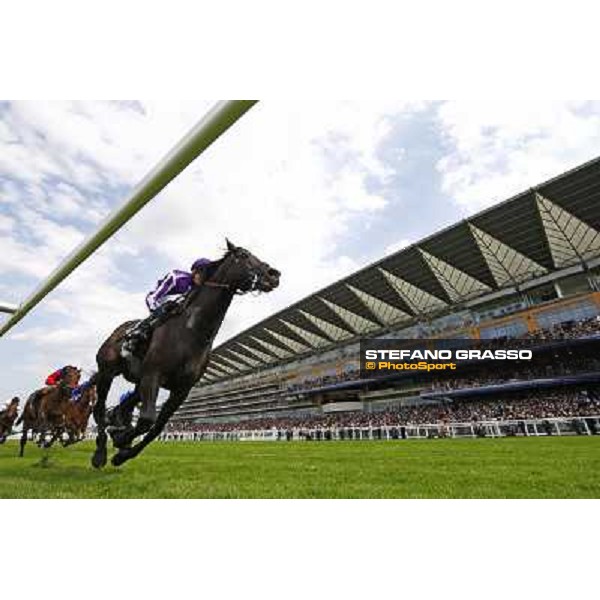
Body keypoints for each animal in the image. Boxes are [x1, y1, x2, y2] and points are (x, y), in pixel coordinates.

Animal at [92, 240, 280, 468]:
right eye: (243, 255)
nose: (274, 274)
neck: (192, 332)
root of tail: (117, 333)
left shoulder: (181, 389)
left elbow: (156, 428)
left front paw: (122, 452)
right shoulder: (153, 375)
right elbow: (146, 420)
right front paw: (120, 441)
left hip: (137, 383)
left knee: (119, 410)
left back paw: (116, 429)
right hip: (107, 371)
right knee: (99, 409)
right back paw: (100, 452)